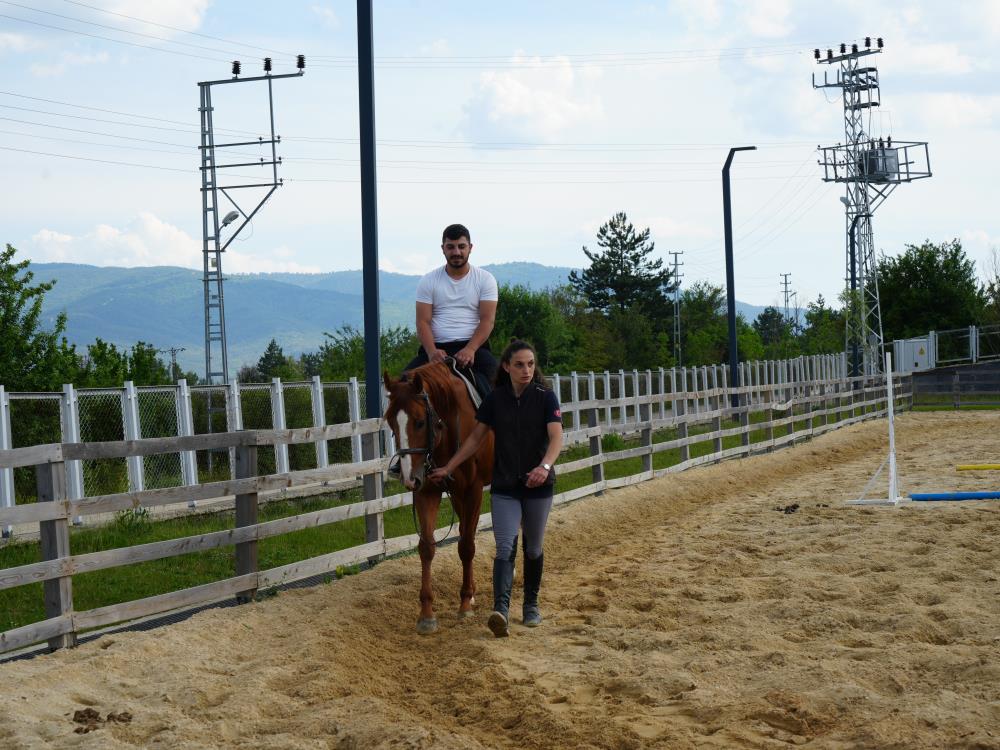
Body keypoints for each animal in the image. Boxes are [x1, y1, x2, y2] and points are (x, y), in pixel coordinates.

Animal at [380, 364, 494, 636]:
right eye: (391, 422)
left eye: (420, 422)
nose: (409, 478)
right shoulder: (427, 490)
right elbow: (427, 547)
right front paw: (427, 614)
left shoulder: (473, 490)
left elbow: (466, 546)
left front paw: (465, 604)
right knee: (466, 529)